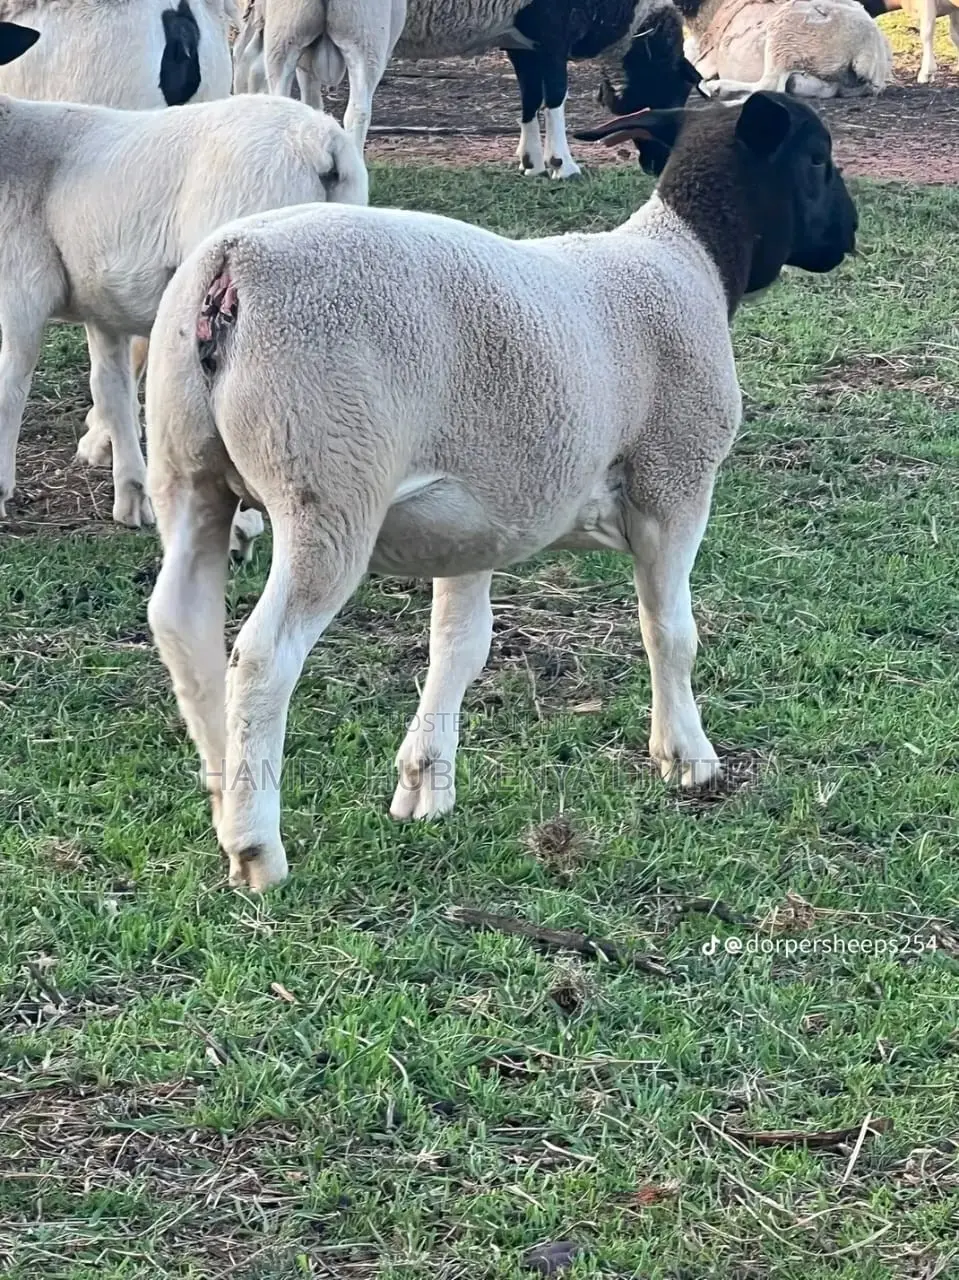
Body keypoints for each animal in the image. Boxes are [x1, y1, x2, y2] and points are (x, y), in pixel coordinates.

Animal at [0, 93, 368, 530]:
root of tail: (321, 141)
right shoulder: (103, 307)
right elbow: (112, 389)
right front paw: (132, 496)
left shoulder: (21, 289)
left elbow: (11, 386)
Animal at [144, 90, 857, 891]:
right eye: (818, 159)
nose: (849, 232)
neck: (687, 261)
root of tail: (230, 265)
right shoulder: (674, 480)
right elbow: (669, 631)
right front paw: (686, 756)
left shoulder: (476, 520)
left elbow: (459, 645)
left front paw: (426, 781)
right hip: (327, 485)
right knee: (264, 658)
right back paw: (255, 846)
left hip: (187, 471)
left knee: (181, 621)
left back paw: (221, 784)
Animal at [234, 0, 701, 178]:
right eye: (676, 90)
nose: (657, 166)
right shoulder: (553, 30)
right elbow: (556, 95)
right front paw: (562, 163)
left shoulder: (523, 40)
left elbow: (530, 97)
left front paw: (531, 162)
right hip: (364, 34)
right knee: (355, 111)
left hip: (282, 28)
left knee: (256, 72)